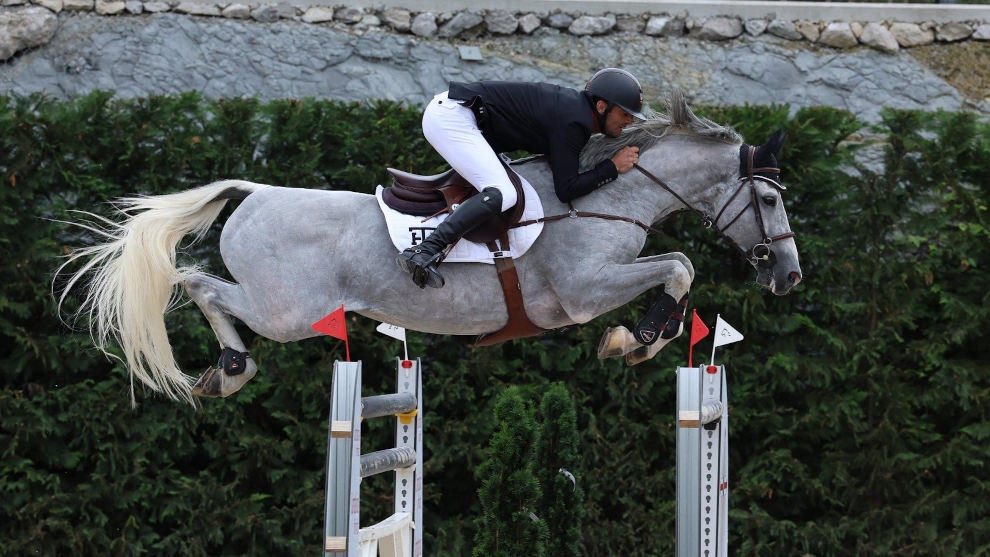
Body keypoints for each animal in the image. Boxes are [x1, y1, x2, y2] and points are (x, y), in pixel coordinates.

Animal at [58, 93, 804, 402]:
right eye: (770, 202)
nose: (791, 277)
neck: (610, 193)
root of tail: (255, 191)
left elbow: (678, 269)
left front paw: (643, 339)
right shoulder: (581, 292)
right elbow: (678, 266)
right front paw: (637, 339)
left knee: (197, 281)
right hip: (286, 311)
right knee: (196, 281)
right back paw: (232, 368)